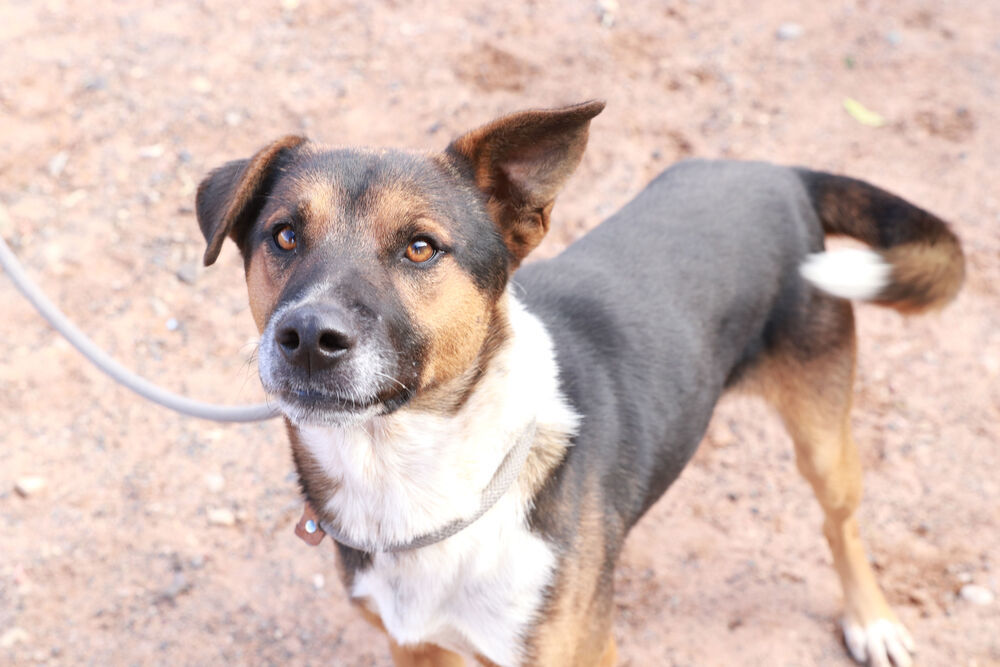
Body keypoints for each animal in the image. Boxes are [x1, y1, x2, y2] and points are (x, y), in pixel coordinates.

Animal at [193, 100, 960, 667]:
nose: (306, 337)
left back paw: (872, 620)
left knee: (842, 522)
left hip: (823, 432)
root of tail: (780, 174)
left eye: (420, 247)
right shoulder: (415, 645)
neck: (409, 478)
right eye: (283, 235)